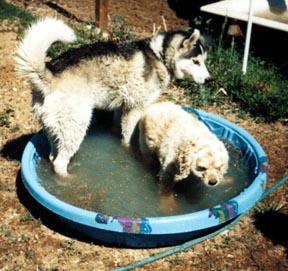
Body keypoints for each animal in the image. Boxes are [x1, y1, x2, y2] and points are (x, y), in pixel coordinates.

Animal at [15, 18, 209, 177]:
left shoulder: (121, 107)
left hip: (55, 130)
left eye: (204, 61)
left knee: (52, 156)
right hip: (76, 126)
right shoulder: (134, 109)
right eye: (196, 62)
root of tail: (50, 75)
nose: (209, 79)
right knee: (59, 163)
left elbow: (118, 129)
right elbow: (128, 138)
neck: (159, 56)